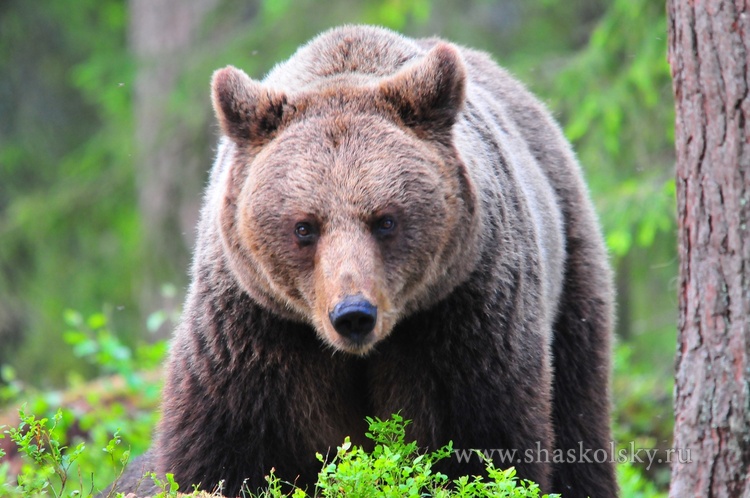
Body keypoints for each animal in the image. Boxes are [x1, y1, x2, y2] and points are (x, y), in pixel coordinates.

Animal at [112, 25, 616, 498]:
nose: (353, 314)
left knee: (579, 410)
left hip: (571, 268)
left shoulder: (462, 318)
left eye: (385, 220)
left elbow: (483, 448)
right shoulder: (253, 330)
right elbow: (218, 452)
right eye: (304, 226)